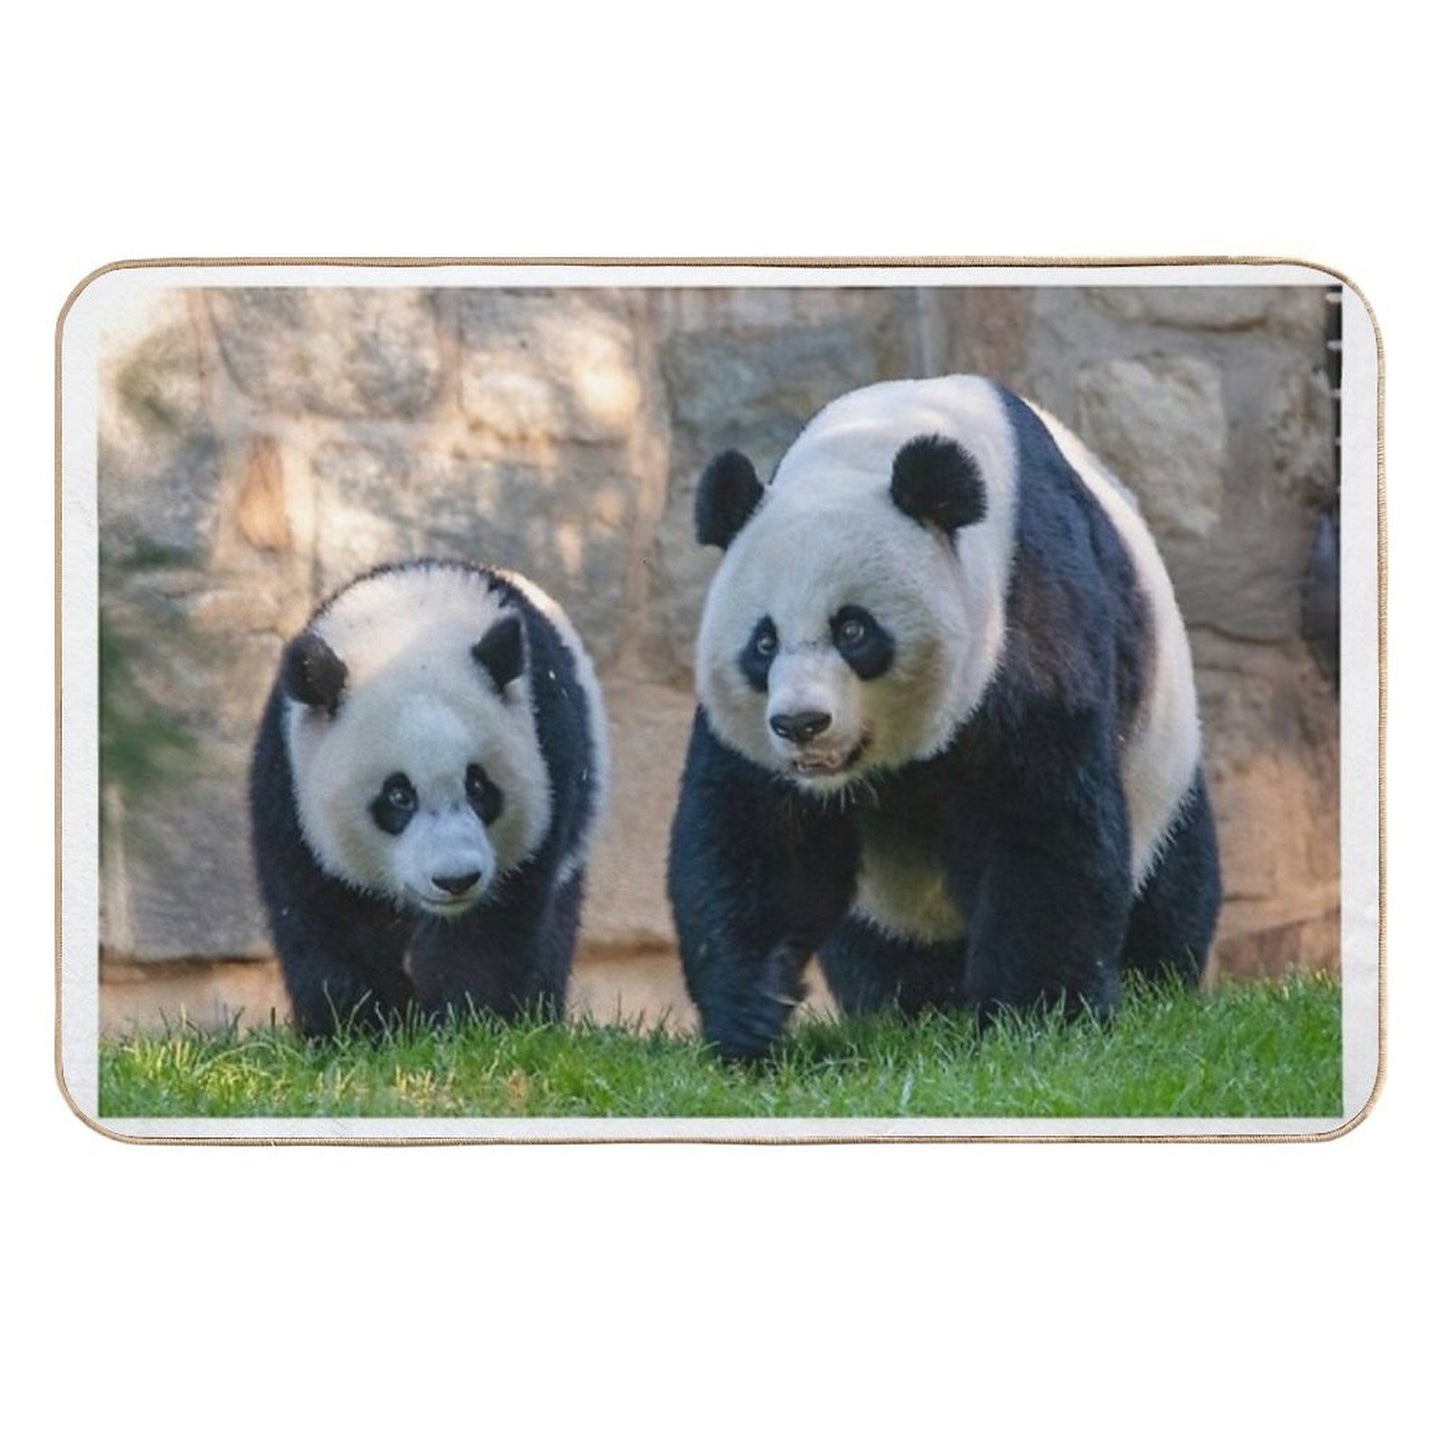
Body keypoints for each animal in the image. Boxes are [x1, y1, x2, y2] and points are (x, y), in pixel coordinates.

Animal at [249, 559, 608, 1038]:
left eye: (479, 787)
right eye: (399, 796)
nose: (456, 879)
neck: (411, 621)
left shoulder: (551, 761)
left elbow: (487, 931)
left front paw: (465, 1023)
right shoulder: (288, 785)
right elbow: (323, 915)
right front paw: (361, 1028)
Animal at [668, 375, 1221, 1061]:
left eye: (853, 630)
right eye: (764, 643)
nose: (801, 724)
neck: (874, 439)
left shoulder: (1025, 613)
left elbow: (1039, 824)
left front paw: (1036, 1020)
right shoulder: (756, 742)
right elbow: (760, 842)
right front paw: (750, 1019)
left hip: (1161, 759)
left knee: (1173, 877)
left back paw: (1155, 979)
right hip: (890, 901)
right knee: (880, 947)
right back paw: (908, 1005)